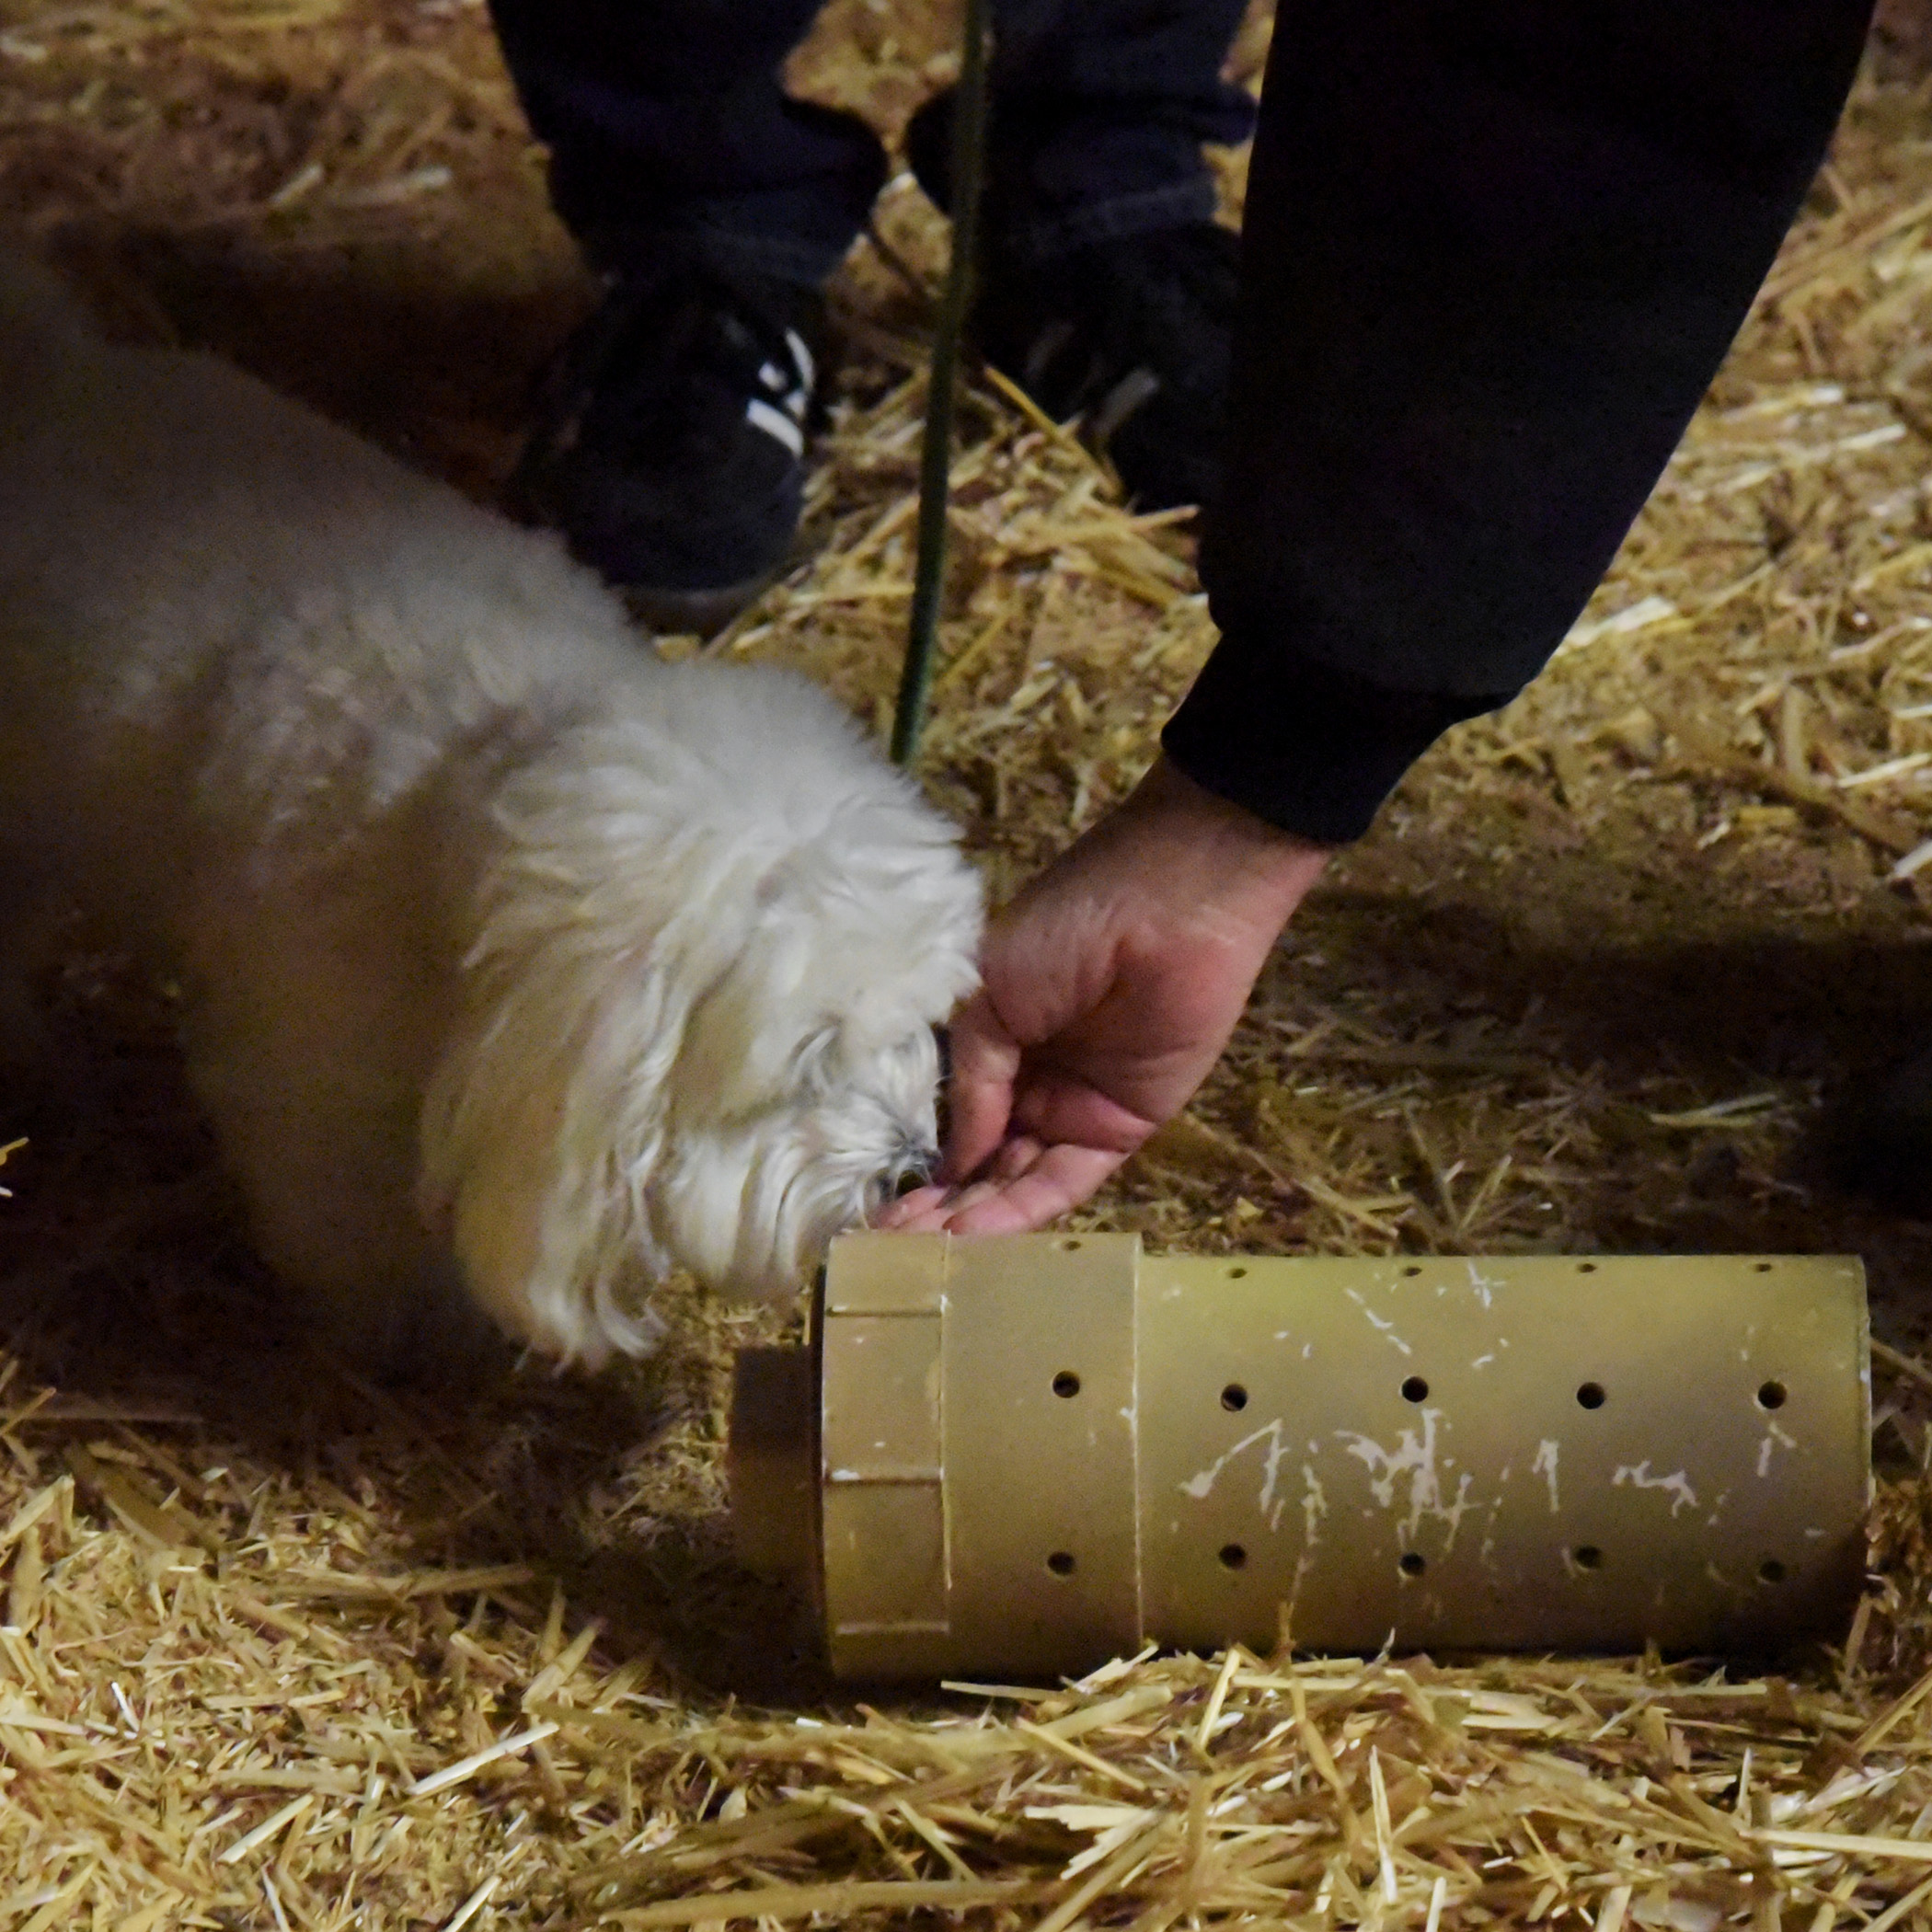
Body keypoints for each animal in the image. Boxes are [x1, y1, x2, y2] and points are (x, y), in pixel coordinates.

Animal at [0, 260, 981, 1375]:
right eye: (808, 1059)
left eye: (917, 1021)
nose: (913, 1170)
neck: (479, 771)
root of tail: (53, 372)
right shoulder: (317, 1073)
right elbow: (349, 1221)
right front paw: (415, 1333)